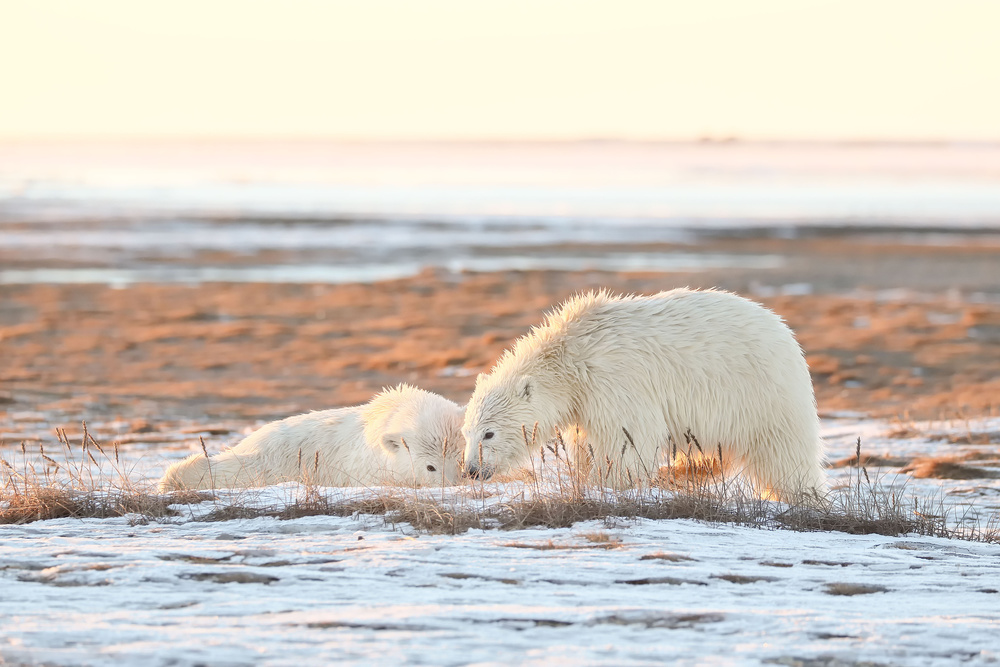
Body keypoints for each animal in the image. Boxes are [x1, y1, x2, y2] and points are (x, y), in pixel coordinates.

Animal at [464, 290, 824, 498]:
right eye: (466, 433)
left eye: (489, 433)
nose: (471, 470)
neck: (571, 354)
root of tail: (785, 332)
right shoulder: (585, 398)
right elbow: (586, 442)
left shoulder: (614, 379)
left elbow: (628, 438)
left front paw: (611, 484)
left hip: (763, 394)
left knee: (785, 452)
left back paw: (804, 496)